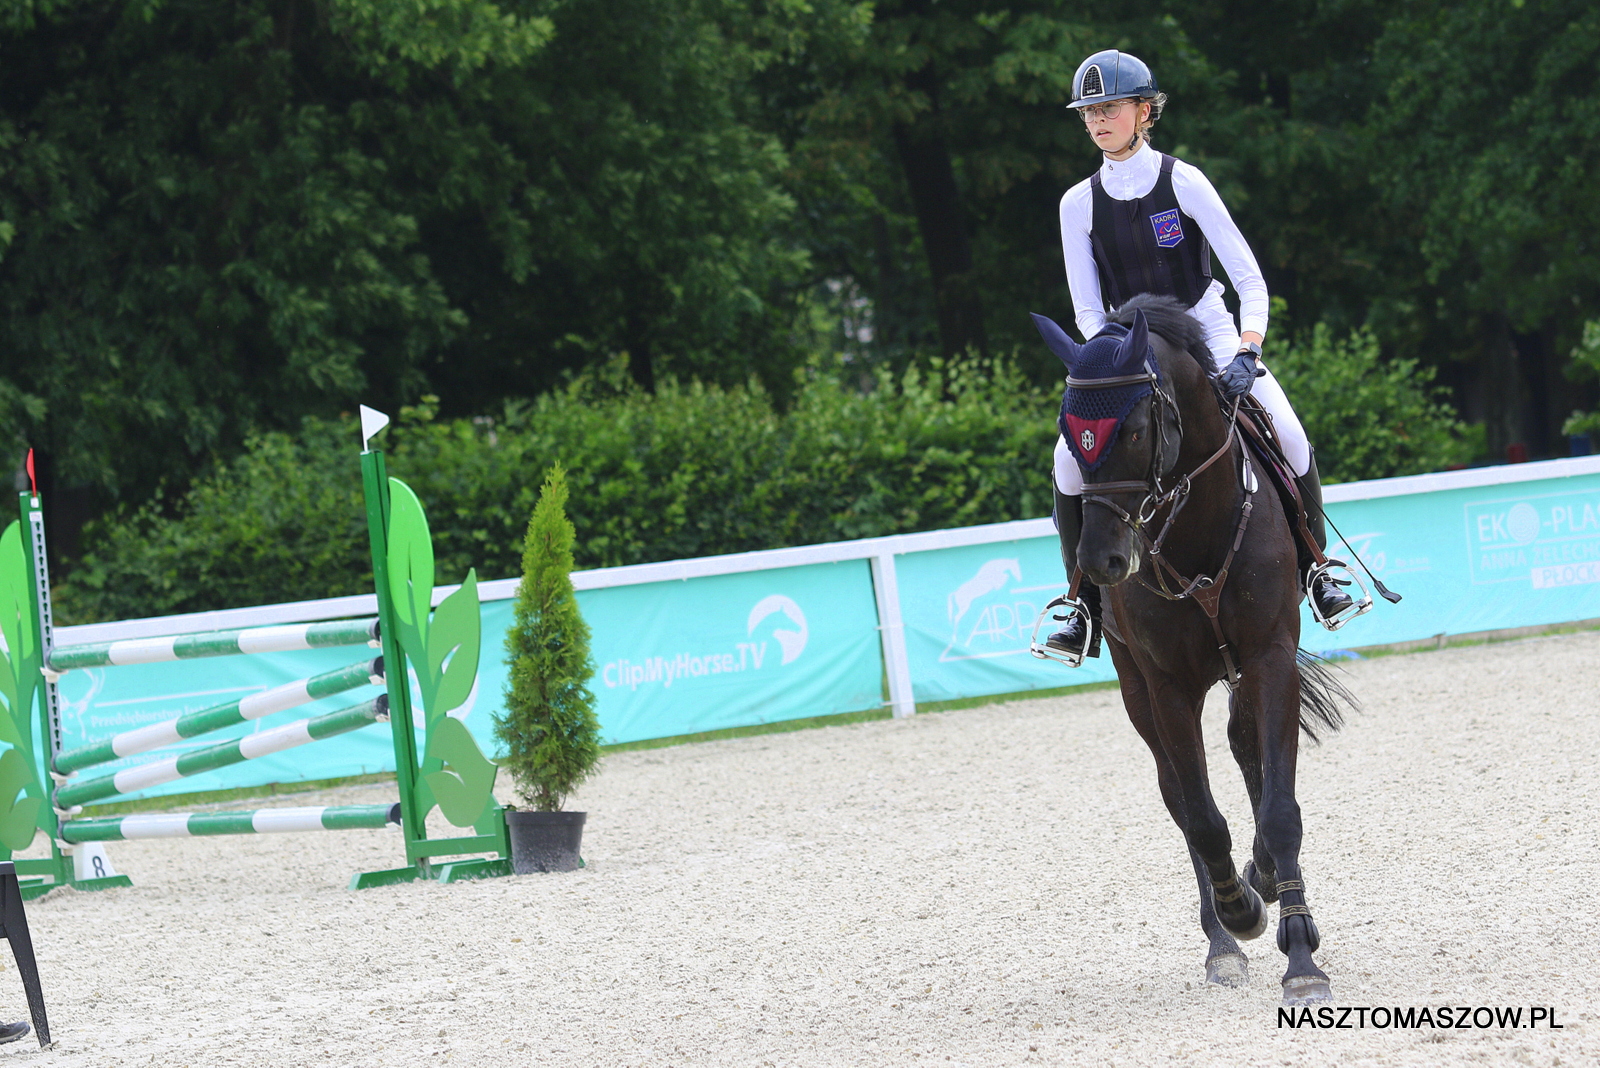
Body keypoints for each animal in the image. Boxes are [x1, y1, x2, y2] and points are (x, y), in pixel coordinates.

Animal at [1032, 294, 1356, 1006]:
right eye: (1072, 433)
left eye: (1132, 430)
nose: (1102, 562)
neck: (1197, 521)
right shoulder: (1167, 685)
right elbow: (1202, 818)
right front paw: (1240, 914)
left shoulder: (1268, 656)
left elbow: (1280, 806)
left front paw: (1301, 956)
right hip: (1137, 690)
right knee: (1180, 798)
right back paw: (1224, 939)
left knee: (1245, 749)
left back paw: (1268, 880)